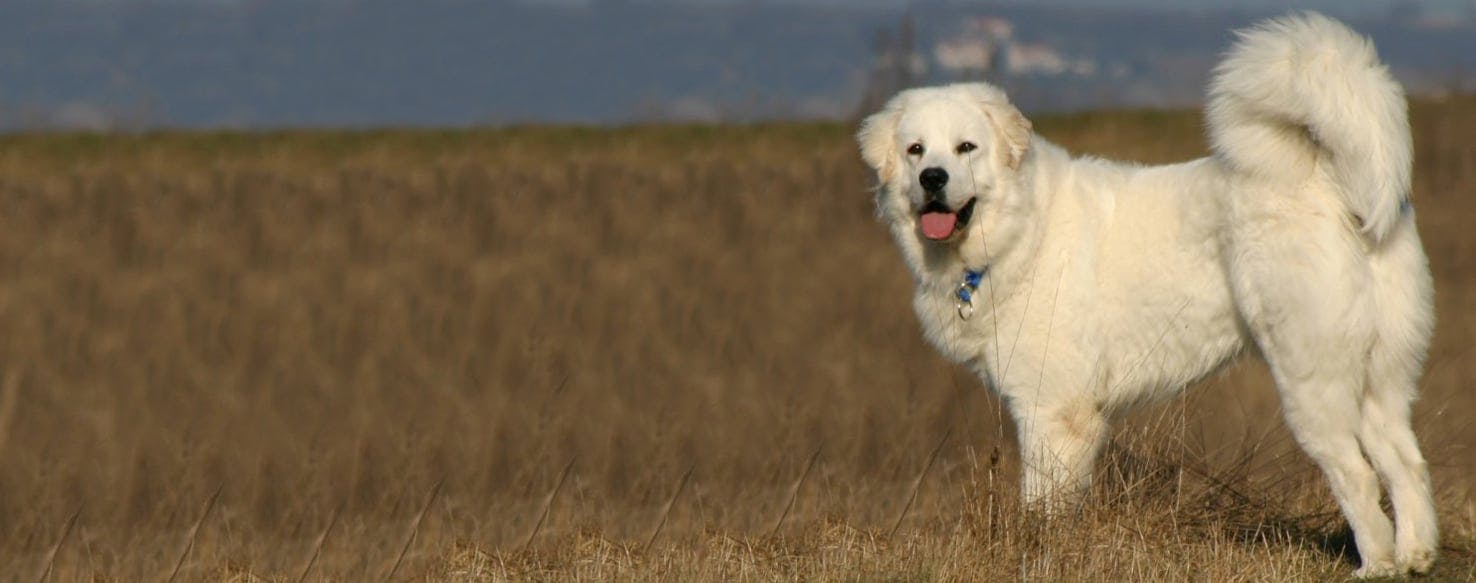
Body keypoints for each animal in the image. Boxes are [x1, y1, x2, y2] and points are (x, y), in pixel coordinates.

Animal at [861, 13, 1434, 578]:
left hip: (1311, 380)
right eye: (915, 150)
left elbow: (1043, 504)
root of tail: (1326, 177)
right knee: (1406, 463)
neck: (1022, 231)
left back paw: (1377, 564)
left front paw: (1038, 555)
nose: (932, 178)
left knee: (1358, 474)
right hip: (1378, 377)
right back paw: (1416, 557)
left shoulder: (1053, 409)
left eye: (966, 147)